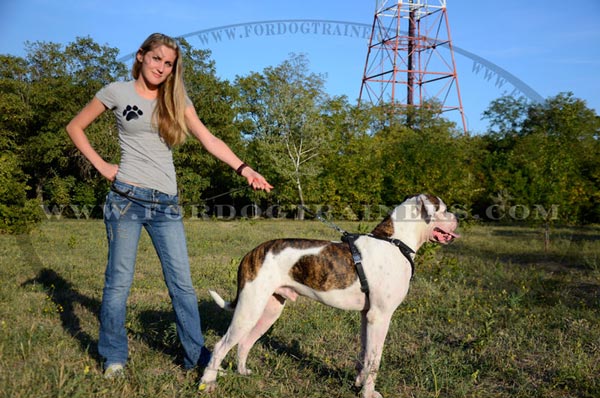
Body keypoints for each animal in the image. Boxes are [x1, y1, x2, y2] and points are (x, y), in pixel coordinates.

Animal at [200, 194, 460, 396]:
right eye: (444, 209)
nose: (458, 217)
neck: (394, 242)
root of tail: (251, 252)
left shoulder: (367, 316)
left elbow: (364, 355)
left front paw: (358, 384)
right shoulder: (380, 316)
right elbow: (375, 359)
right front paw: (369, 392)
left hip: (268, 310)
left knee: (245, 342)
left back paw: (242, 372)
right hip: (249, 309)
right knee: (220, 345)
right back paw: (208, 382)